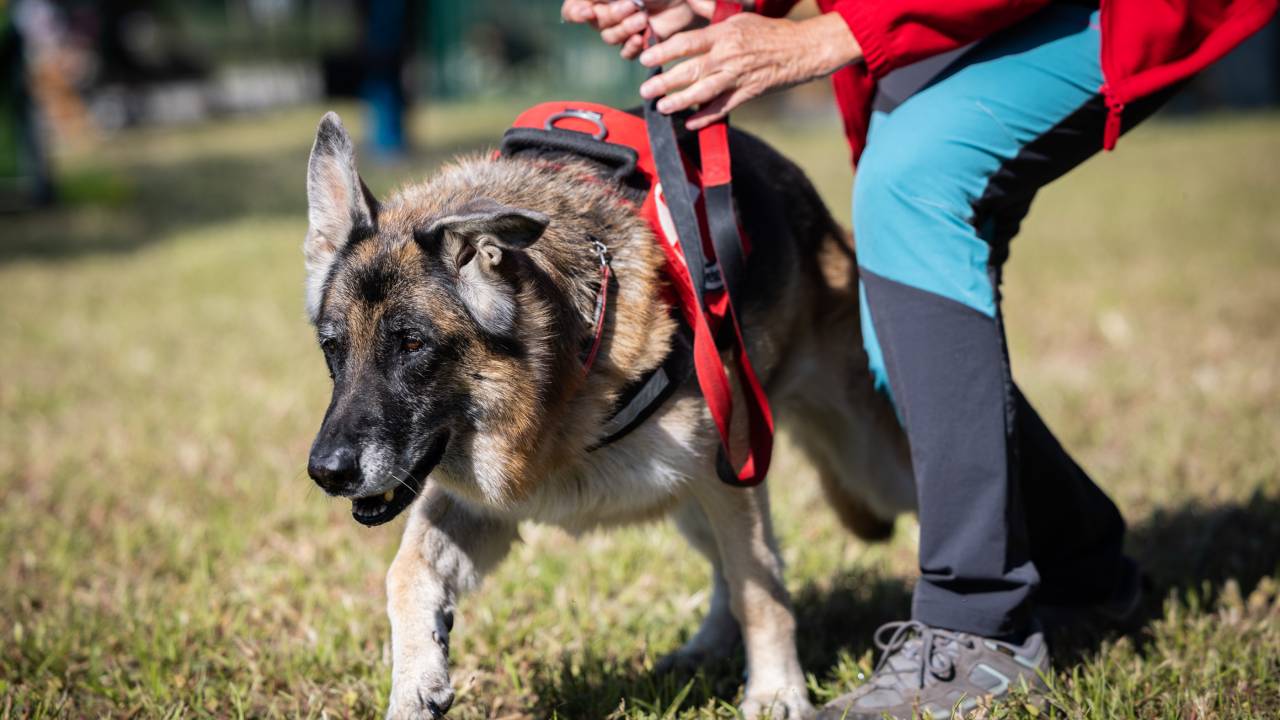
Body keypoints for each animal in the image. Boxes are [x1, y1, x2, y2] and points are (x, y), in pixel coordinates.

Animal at [302, 110, 914, 719]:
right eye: (332, 348)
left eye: (411, 344)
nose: (326, 474)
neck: (567, 373)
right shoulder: (478, 502)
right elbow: (405, 571)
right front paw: (414, 685)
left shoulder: (730, 478)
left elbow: (759, 593)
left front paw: (776, 694)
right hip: (696, 500)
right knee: (721, 567)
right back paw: (705, 648)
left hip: (869, 467)